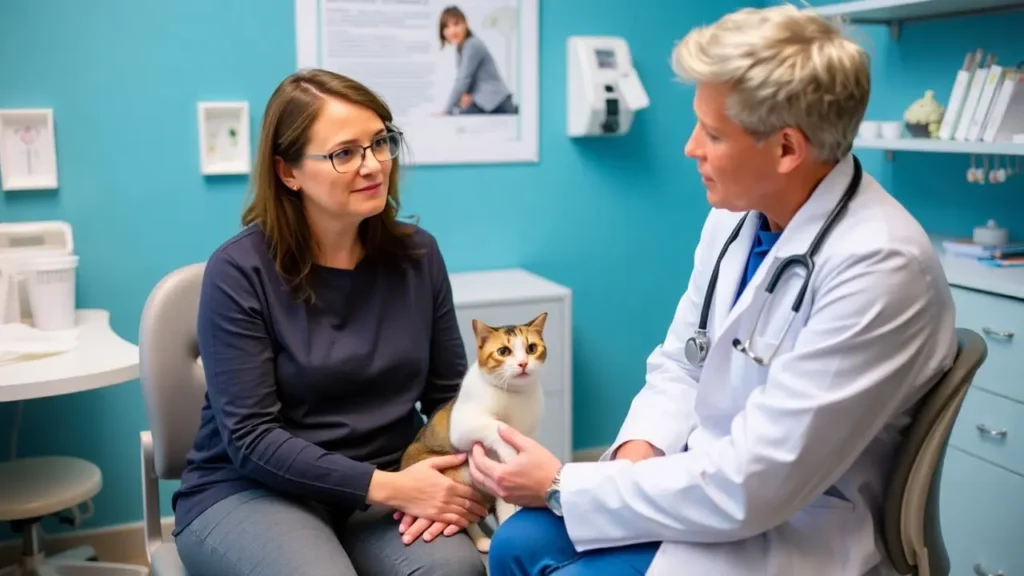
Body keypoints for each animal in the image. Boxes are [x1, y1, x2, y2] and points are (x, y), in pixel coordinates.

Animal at [395, 313, 548, 553]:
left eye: (531, 348)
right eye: (503, 351)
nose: (523, 363)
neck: (516, 395)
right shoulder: (462, 426)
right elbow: (495, 427)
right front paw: (510, 452)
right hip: (457, 472)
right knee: (465, 516)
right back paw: (481, 539)